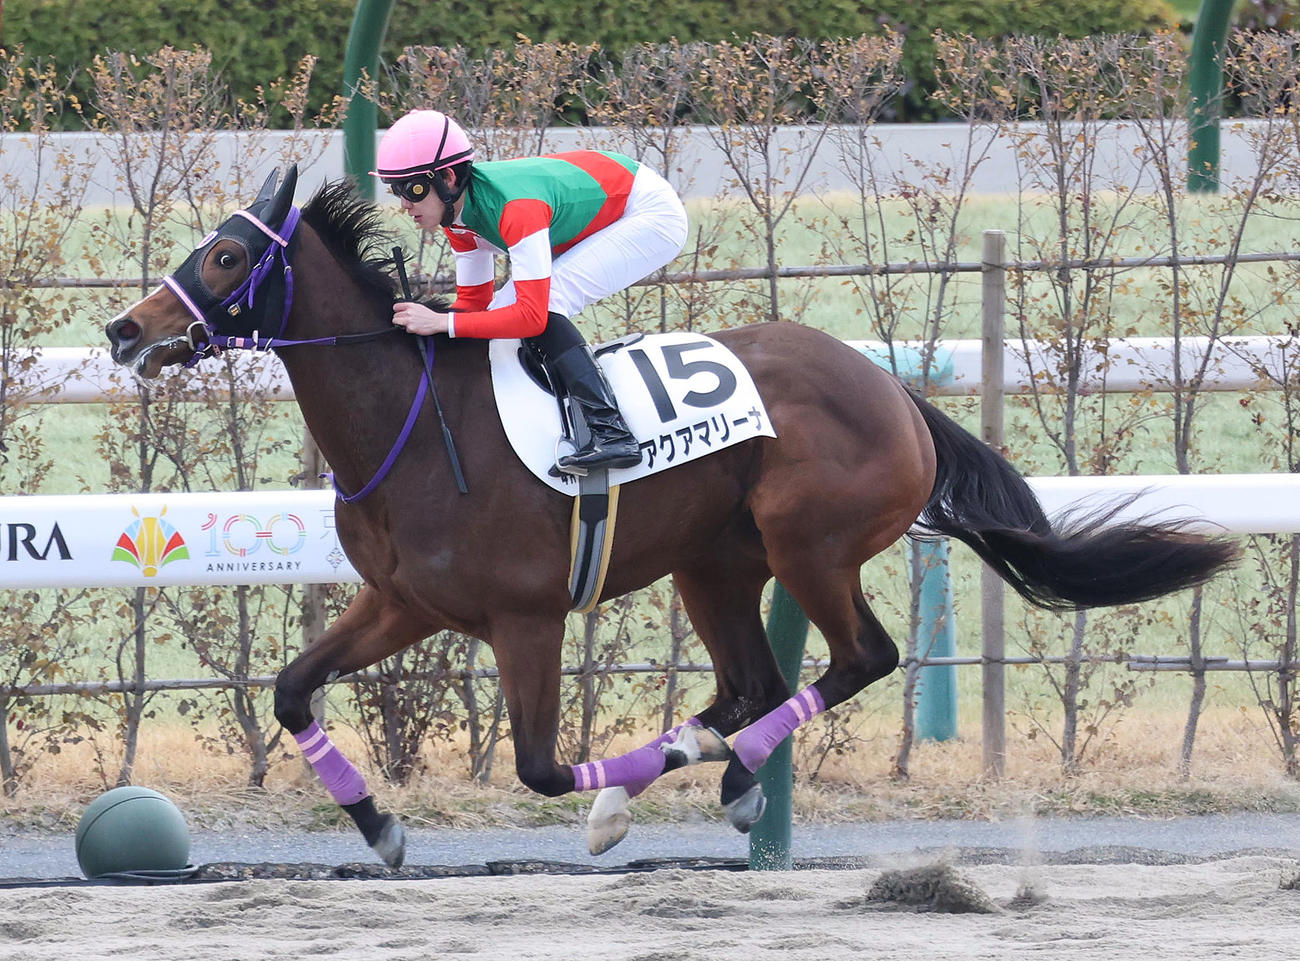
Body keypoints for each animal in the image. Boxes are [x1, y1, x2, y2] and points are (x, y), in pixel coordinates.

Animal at [104, 167, 1238, 866]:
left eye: (223, 257)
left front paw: (591, 797)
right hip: (716, 563)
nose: (122, 330)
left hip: (809, 543)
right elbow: (293, 688)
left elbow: (540, 766)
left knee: (857, 659)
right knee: (752, 684)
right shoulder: (403, 603)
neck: (416, 422)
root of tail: (892, 389)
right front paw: (378, 826)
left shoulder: (526, 619)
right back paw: (680, 779)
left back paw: (724, 782)